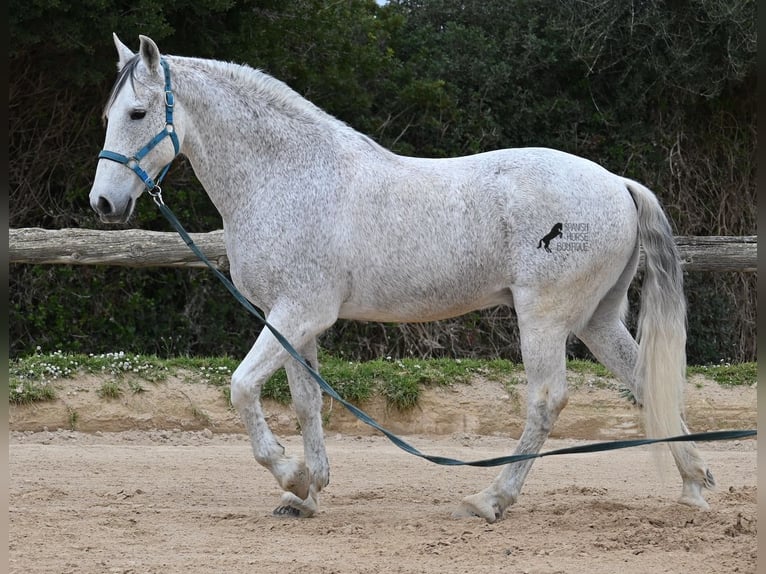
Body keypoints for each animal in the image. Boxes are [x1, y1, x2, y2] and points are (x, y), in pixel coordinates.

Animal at [91, 33, 720, 524]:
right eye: (109, 116)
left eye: (138, 114)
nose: (104, 203)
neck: (287, 175)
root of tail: (617, 183)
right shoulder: (292, 320)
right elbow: (306, 402)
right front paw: (307, 494)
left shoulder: (298, 313)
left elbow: (243, 387)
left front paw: (291, 476)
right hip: (596, 319)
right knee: (646, 382)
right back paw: (694, 485)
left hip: (544, 317)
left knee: (547, 401)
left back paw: (490, 500)